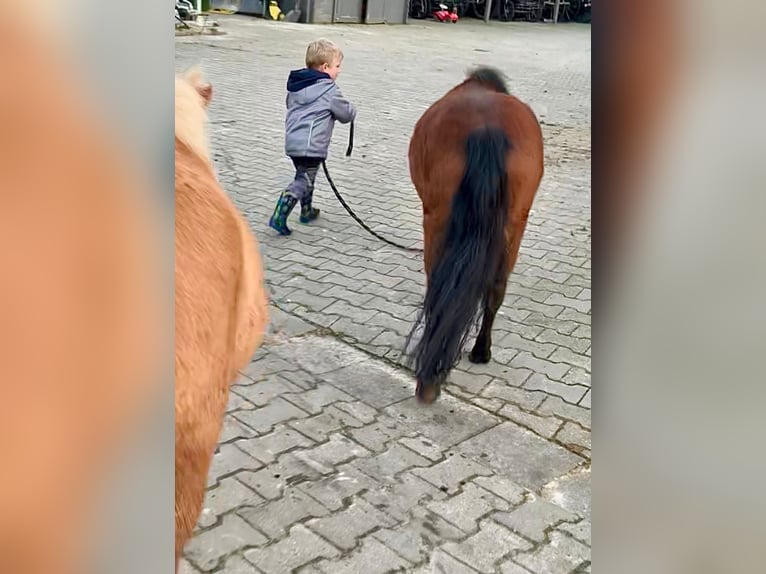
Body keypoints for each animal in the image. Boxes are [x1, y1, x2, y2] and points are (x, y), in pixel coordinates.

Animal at [408, 67, 544, 404]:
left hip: (437, 220)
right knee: (496, 288)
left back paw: (429, 379)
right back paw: (481, 351)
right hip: (515, 224)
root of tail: (486, 127)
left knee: (439, 285)